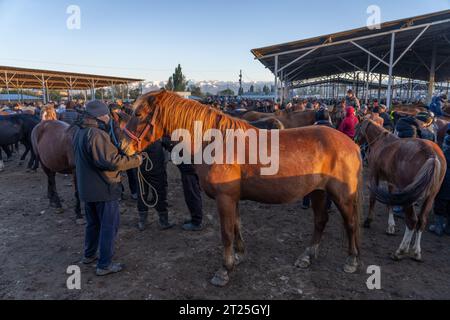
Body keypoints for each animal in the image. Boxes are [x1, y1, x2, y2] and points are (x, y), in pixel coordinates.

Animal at [118, 90, 362, 288]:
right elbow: (236, 227)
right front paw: (239, 257)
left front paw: (224, 270)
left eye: (139, 114)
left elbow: (226, 233)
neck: (215, 142)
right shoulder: (232, 198)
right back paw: (308, 256)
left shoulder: (224, 198)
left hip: (341, 195)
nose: (122, 147)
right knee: (320, 221)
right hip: (318, 192)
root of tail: (352, 144)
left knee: (350, 223)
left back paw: (351, 260)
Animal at [356, 120, 446, 262]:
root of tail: (431, 154)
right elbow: (390, 202)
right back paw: (416, 251)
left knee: (412, 221)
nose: (354, 140)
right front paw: (391, 226)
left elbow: (372, 199)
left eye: (357, 126)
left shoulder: (374, 175)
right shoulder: (391, 182)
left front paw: (368, 221)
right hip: (429, 197)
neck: (382, 142)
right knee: (421, 221)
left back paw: (401, 251)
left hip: (410, 197)